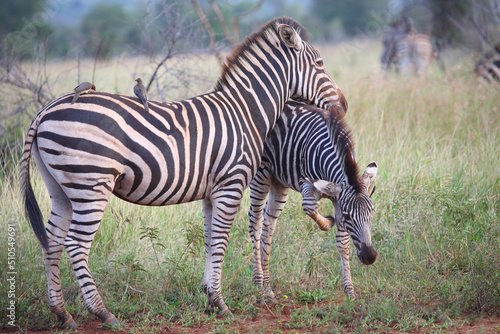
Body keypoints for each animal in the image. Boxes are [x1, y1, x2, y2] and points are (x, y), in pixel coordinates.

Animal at [20, 17, 348, 328]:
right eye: (320, 64)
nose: (344, 106)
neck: (244, 112)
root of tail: (45, 111)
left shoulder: (211, 192)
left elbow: (209, 239)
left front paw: (209, 297)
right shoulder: (230, 185)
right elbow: (221, 241)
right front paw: (221, 303)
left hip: (61, 188)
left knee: (52, 241)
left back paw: (62, 314)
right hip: (90, 184)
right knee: (76, 244)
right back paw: (103, 313)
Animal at [248, 100, 376, 298]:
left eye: (371, 213)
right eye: (348, 217)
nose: (370, 257)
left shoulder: (338, 198)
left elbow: (343, 243)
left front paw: (350, 290)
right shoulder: (307, 184)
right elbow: (310, 208)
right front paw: (329, 221)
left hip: (279, 181)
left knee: (268, 226)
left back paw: (268, 286)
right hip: (261, 175)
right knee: (255, 223)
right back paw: (258, 283)